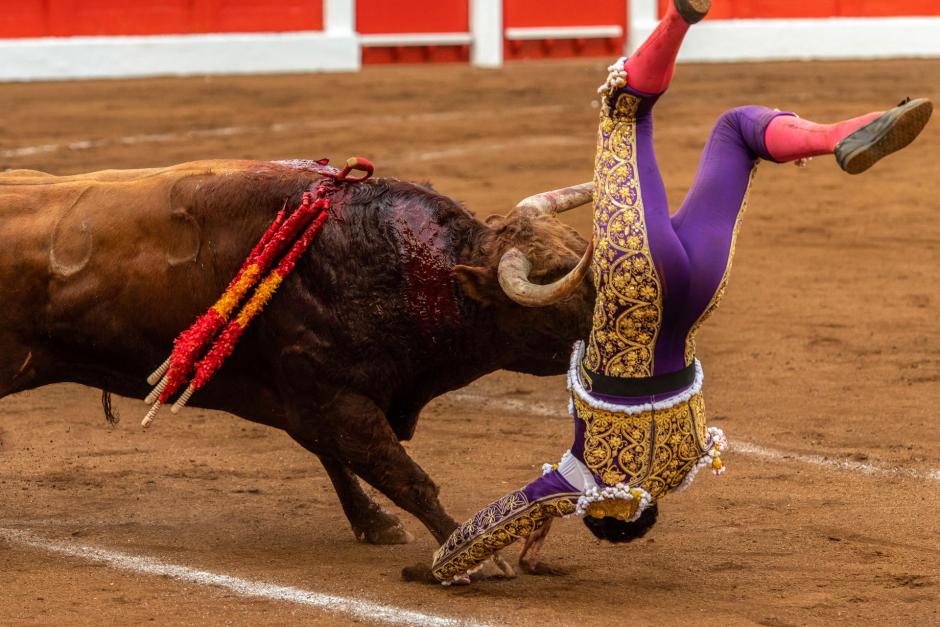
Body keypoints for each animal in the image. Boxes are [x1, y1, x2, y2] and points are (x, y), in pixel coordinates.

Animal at [0, 159, 592, 548]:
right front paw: (470, 551)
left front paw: (377, 526)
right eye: (557, 287)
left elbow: (341, 462)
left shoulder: (308, 399)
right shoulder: (330, 398)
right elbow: (404, 474)